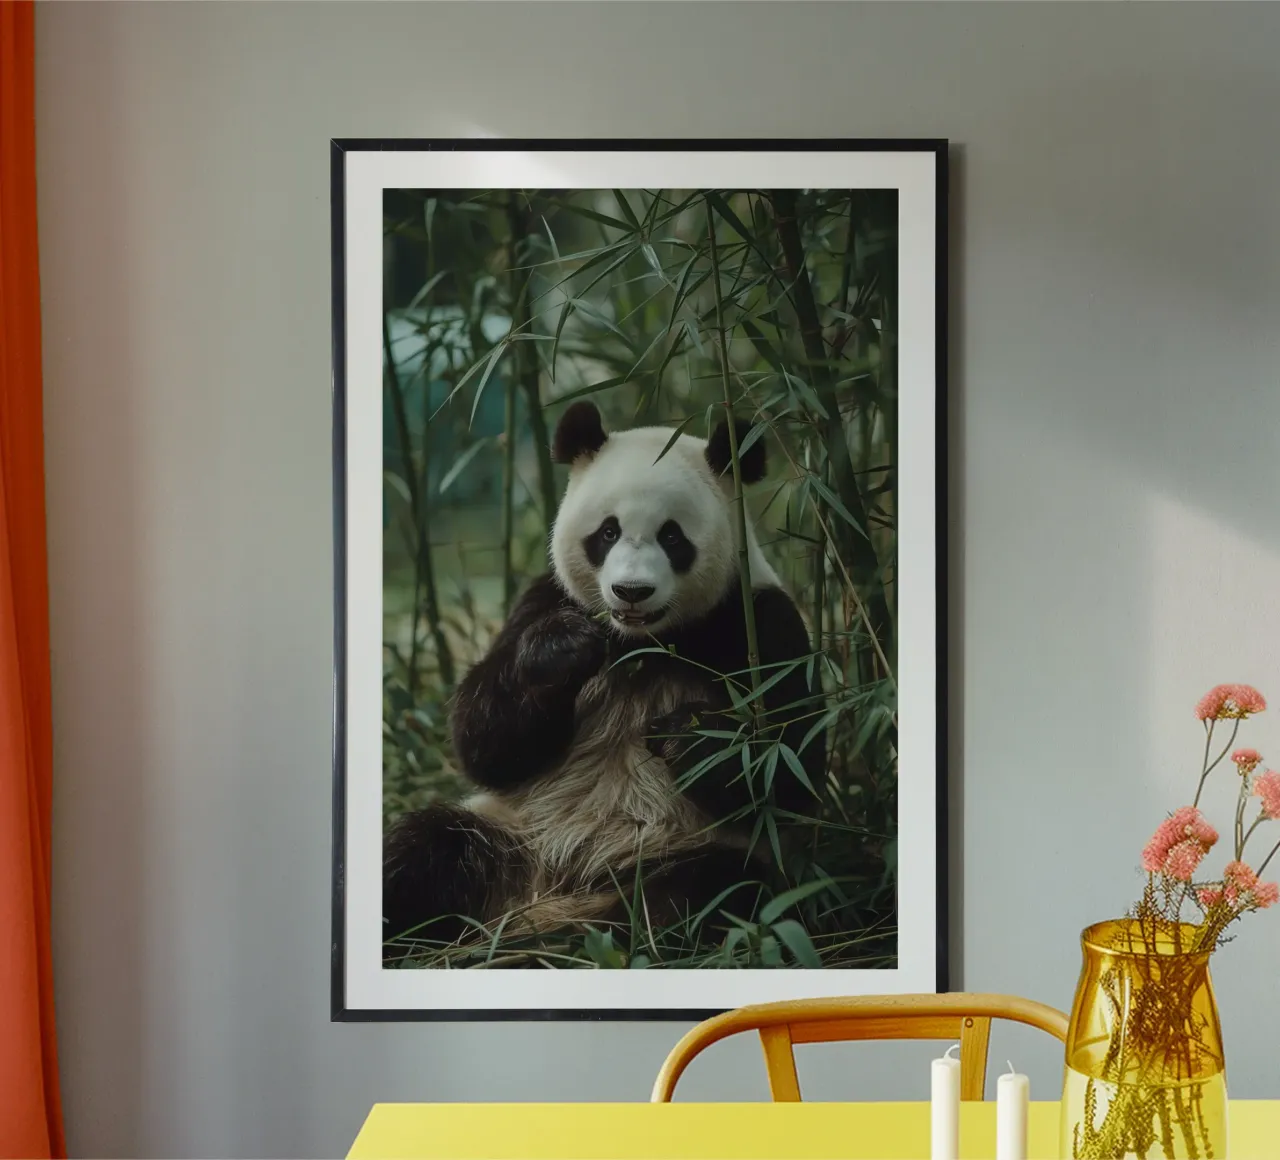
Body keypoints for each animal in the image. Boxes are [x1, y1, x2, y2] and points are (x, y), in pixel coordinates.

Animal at [382, 401, 825, 956]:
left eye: (672, 536)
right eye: (608, 532)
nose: (631, 591)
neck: (640, 642)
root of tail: (551, 894)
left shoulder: (758, 622)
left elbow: (788, 765)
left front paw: (684, 735)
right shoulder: (544, 599)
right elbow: (484, 741)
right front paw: (563, 651)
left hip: (676, 847)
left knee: (711, 892)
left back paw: (611, 938)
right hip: (511, 832)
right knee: (425, 849)